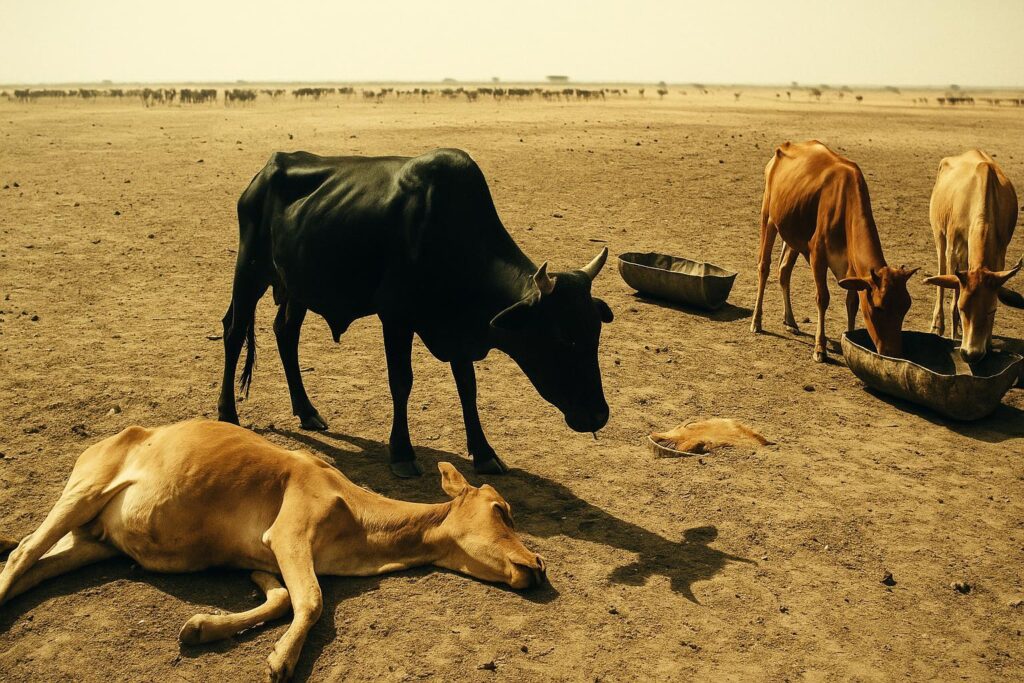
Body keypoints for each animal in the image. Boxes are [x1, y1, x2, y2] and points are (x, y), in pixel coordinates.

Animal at [0, 420, 545, 681]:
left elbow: (282, 597)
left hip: (95, 542)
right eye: (501, 509)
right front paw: (281, 660)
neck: (360, 525)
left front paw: (201, 628)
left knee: (35, 564)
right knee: (23, 550)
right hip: (85, 488)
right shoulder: (288, 533)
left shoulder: (267, 554)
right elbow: (312, 600)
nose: (539, 563)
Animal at [217, 149, 613, 478]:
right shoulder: (396, 318)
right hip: (250, 271)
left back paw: (306, 409)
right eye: (562, 339)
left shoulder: (457, 331)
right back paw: (227, 413)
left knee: (286, 334)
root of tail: (266, 171)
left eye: (594, 333)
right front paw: (402, 453)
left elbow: (468, 388)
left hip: (296, 286)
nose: (598, 414)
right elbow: (401, 382)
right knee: (234, 331)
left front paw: (484, 452)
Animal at [751, 141, 919, 361]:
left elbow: (852, 301)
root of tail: (785, 146)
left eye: (906, 306)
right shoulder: (817, 256)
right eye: (879, 307)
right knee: (764, 267)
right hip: (768, 217)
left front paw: (851, 338)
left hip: (793, 233)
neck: (845, 205)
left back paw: (791, 321)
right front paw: (820, 348)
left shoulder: (852, 270)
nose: (892, 353)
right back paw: (756, 321)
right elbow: (823, 298)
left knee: (784, 270)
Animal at [923, 149, 1022, 361]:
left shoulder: (1000, 255)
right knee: (941, 275)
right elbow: (952, 299)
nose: (971, 354)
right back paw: (938, 325)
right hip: (939, 235)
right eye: (963, 308)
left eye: (992, 309)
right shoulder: (953, 249)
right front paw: (953, 336)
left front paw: (989, 343)